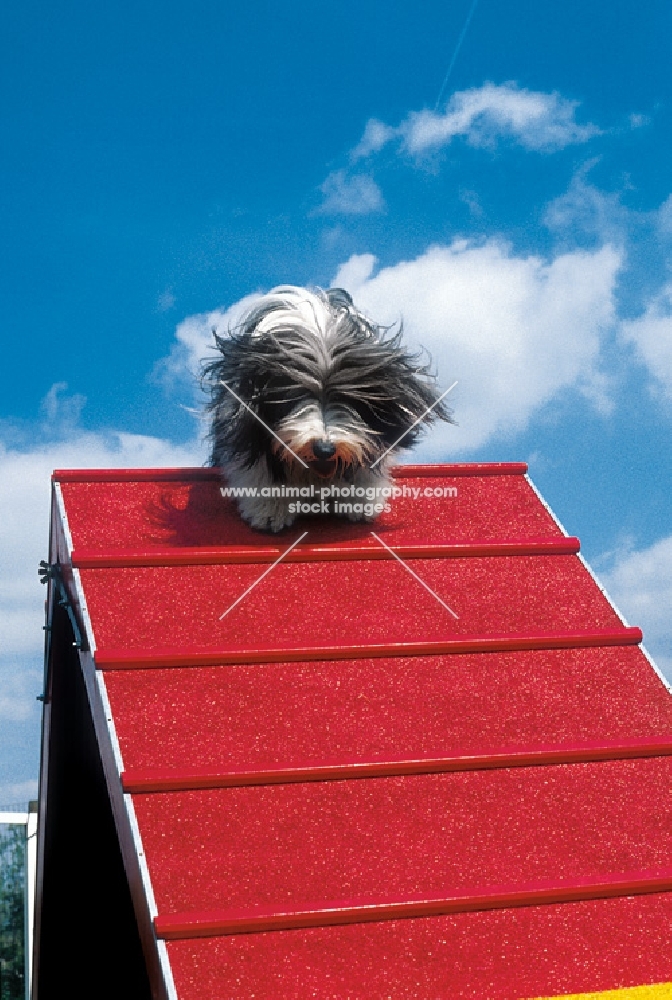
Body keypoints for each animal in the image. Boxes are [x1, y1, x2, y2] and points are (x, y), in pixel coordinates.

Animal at [202, 282, 448, 532]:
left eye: (349, 397)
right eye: (293, 395)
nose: (324, 449)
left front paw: (359, 501)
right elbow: (260, 464)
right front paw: (271, 509)